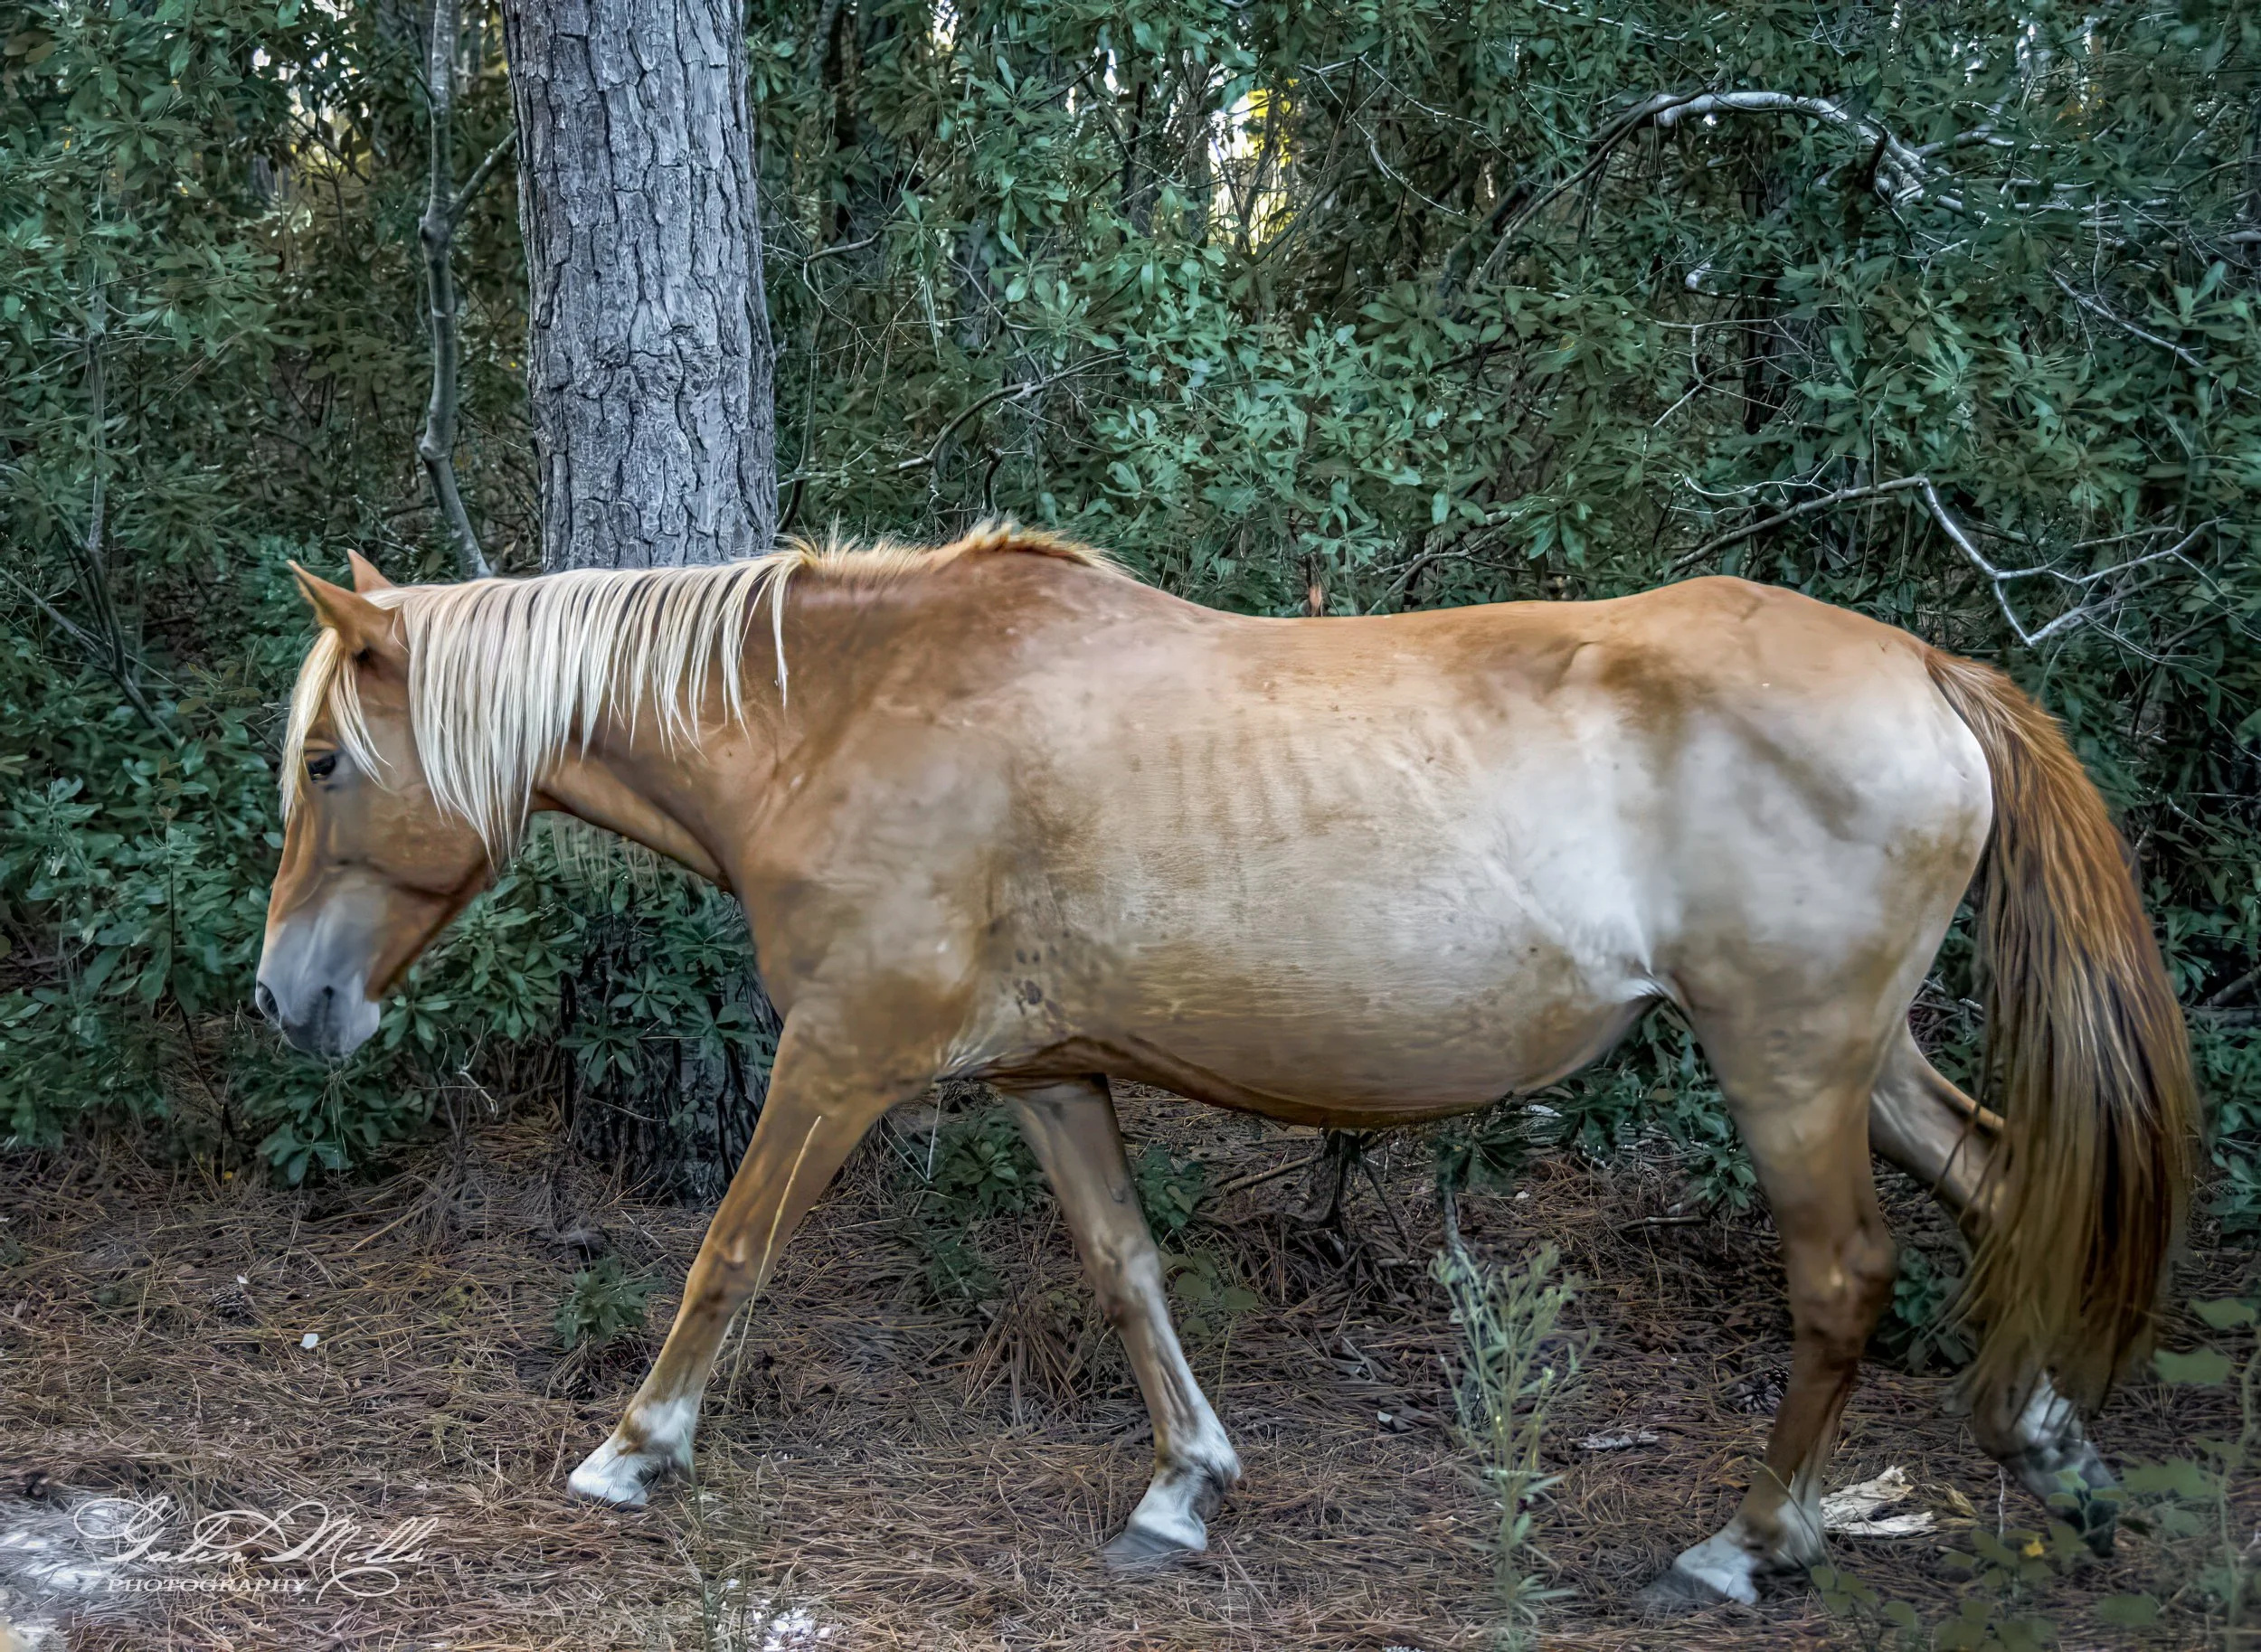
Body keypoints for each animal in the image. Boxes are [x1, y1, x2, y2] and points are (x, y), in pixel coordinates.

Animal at [257, 527, 2194, 1608]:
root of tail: (1928, 668)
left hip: (1787, 1064)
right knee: (2000, 1183)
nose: (286, 999)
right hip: (1864, 1060)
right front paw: (1184, 1488)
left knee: (1846, 1277)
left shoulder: (843, 1055)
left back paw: (1752, 1542)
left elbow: (730, 1250)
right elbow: (1127, 1270)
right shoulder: (1044, 1072)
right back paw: (2054, 1454)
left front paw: (633, 1447)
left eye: (329, 761)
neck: (850, 714)